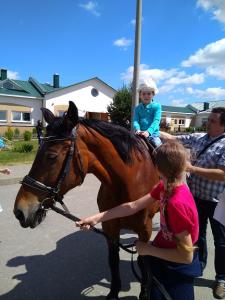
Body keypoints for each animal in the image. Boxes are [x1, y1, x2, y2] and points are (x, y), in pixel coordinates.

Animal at [14, 101, 159, 300]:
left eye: (51, 156)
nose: (19, 211)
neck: (128, 182)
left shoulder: (144, 230)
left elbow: (143, 260)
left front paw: (145, 291)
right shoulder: (110, 227)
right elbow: (113, 261)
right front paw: (114, 292)